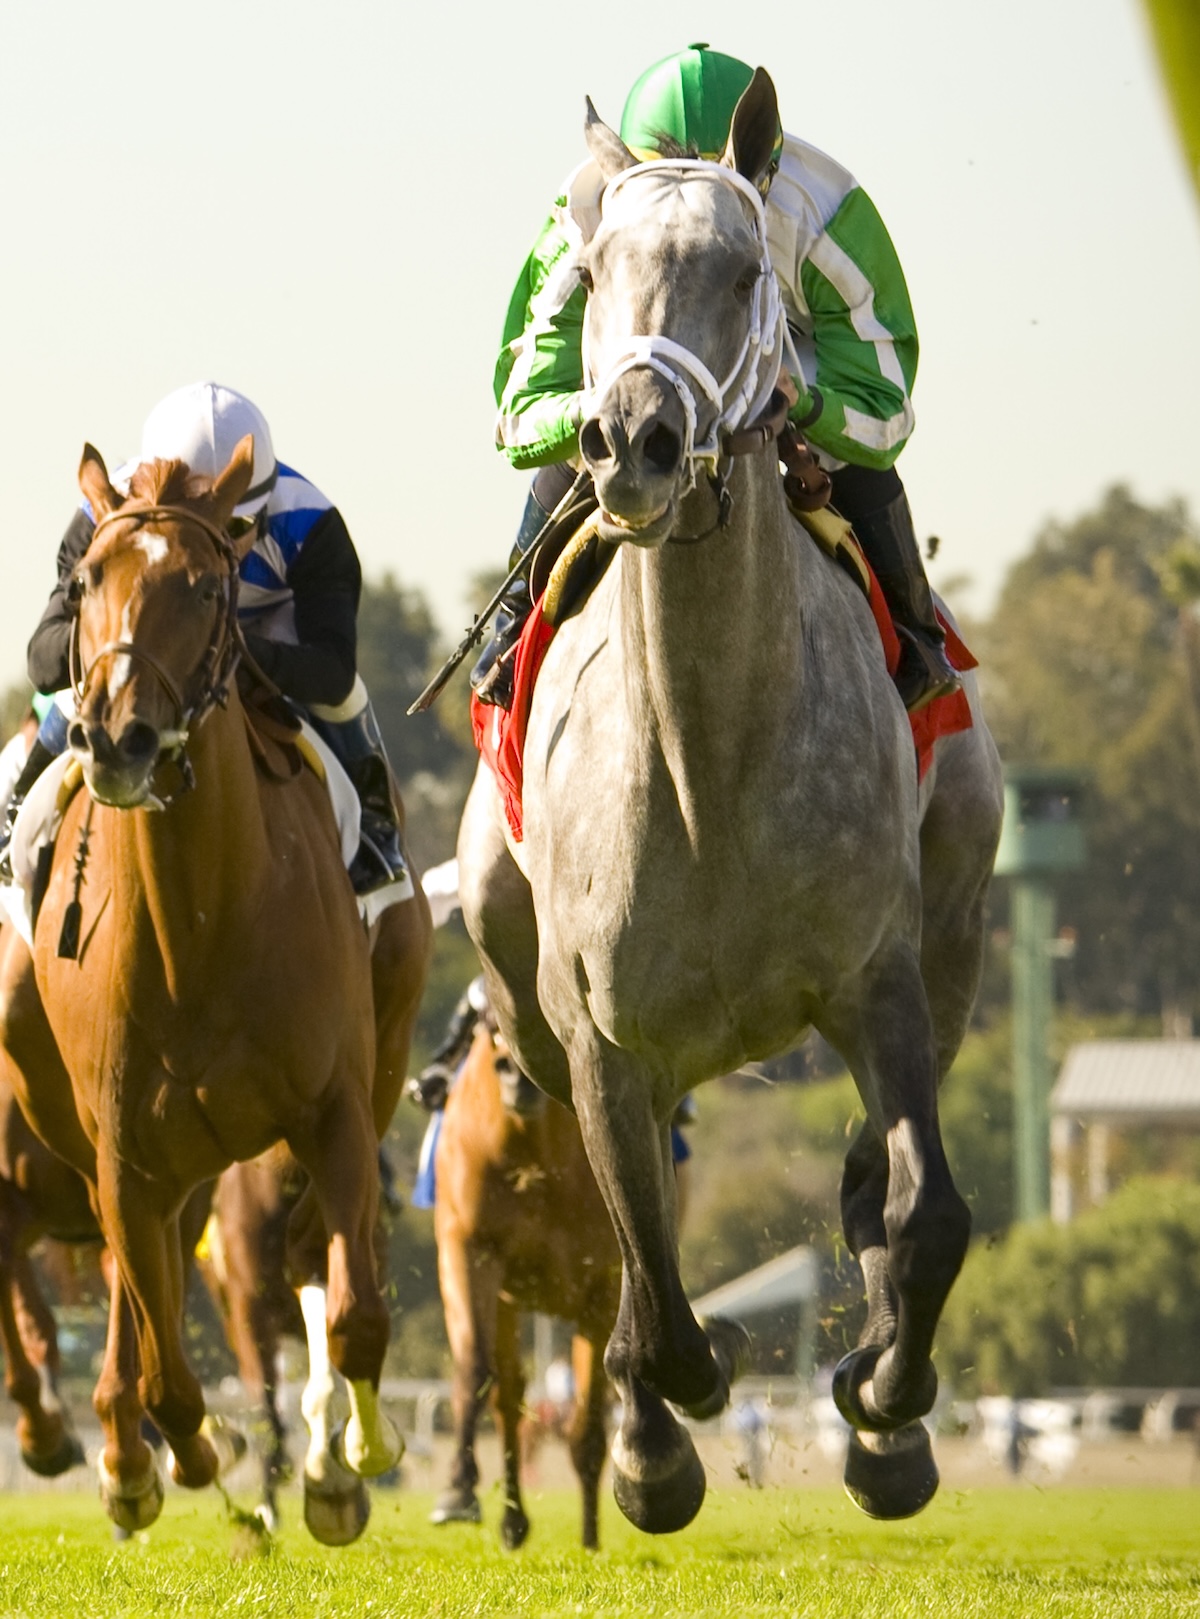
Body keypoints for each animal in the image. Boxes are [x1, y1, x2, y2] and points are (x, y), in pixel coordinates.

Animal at [0, 440, 430, 1528]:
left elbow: (357, 1312)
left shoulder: (333, 1111)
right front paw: (165, 1456)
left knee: (313, 1256)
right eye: (85, 581)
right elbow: (165, 1374)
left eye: (203, 586)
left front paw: (350, 1460)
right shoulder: (123, 1157)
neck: (201, 925)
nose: (117, 738)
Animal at [430, 1029, 618, 1547]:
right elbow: (476, 1369)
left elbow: (589, 1422)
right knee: (509, 1398)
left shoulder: (603, 1281)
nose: (516, 1071)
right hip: (506, 1303)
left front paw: (591, 1538)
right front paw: (458, 1490)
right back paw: (513, 1520)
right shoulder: (469, 1249)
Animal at [459, 69, 1004, 1534]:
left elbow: (929, 1211)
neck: (711, 767)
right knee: (628, 1232)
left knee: (876, 1180)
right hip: (518, 975)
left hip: (960, 917)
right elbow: (644, 1279)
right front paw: (663, 1432)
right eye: (594, 271)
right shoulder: (600, 1039)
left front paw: (883, 1407)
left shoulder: (879, 978)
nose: (634, 441)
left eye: (748, 267)